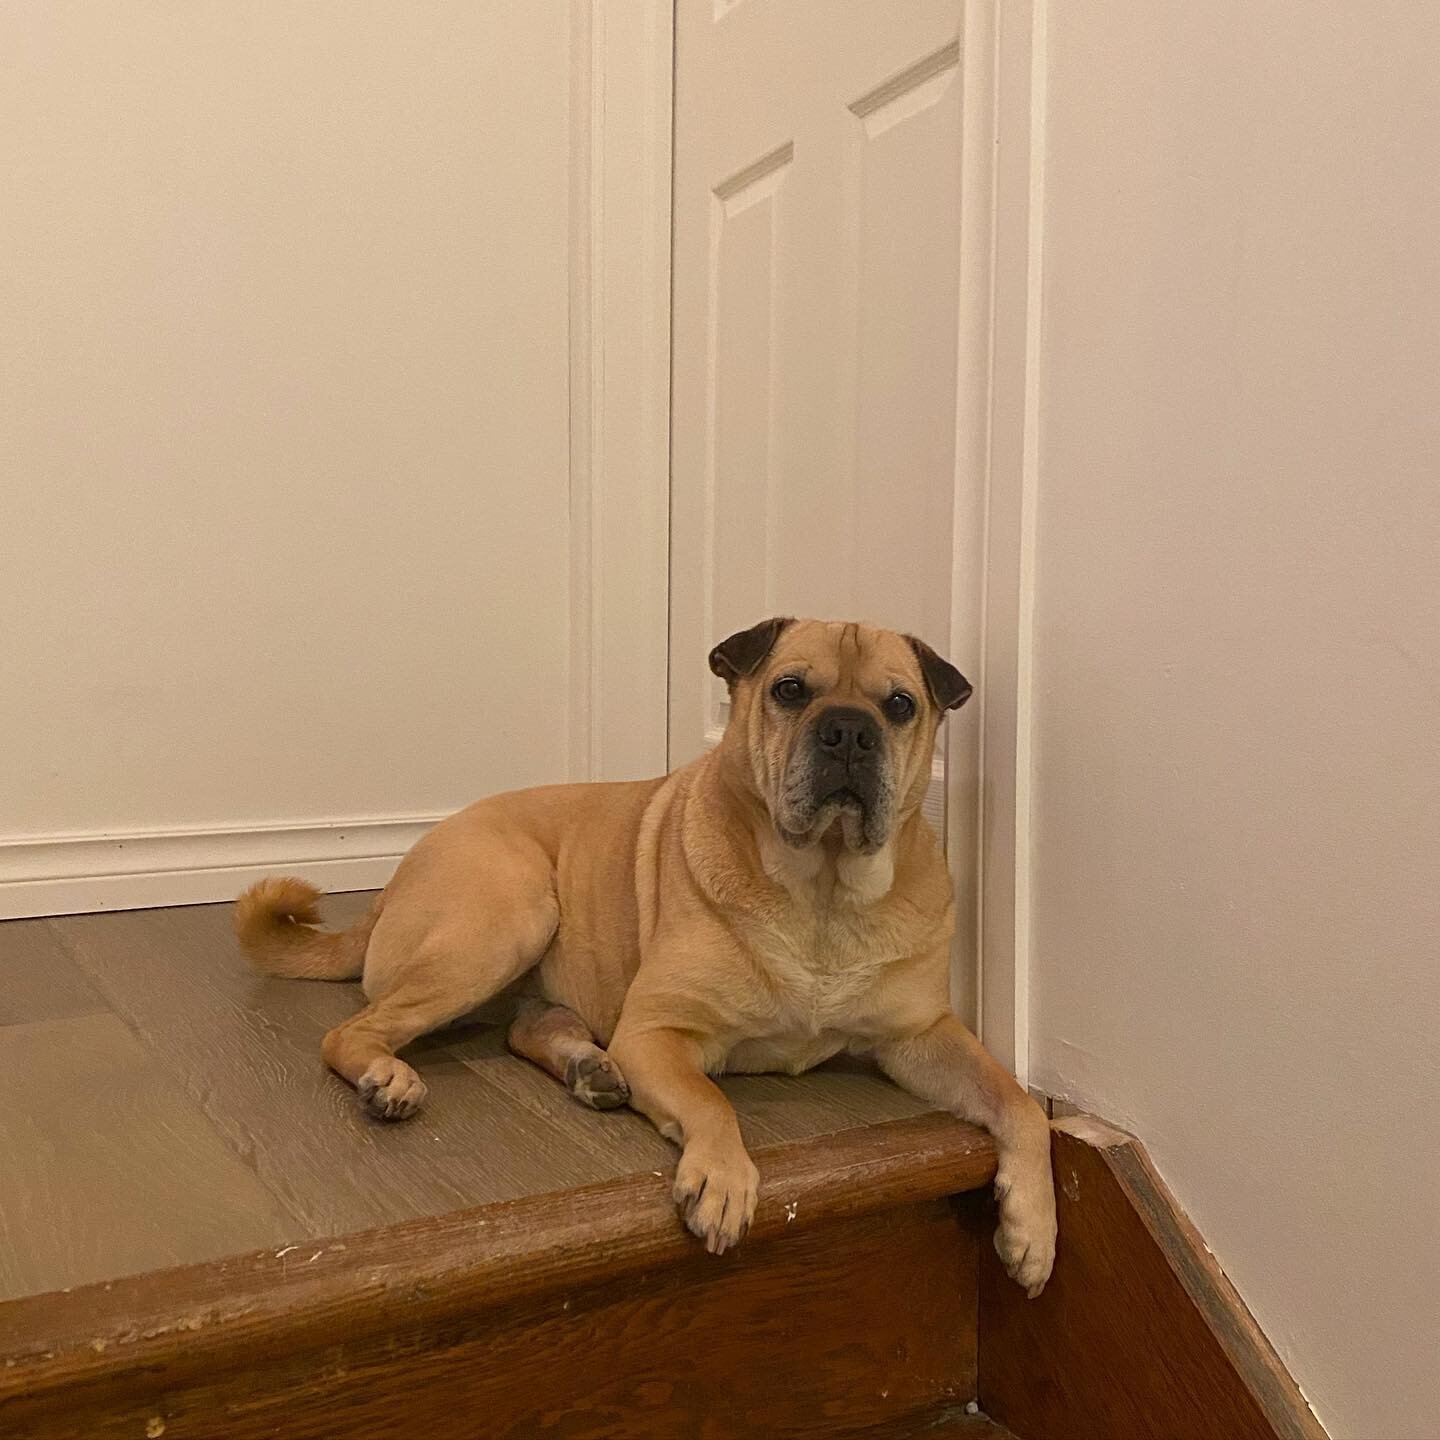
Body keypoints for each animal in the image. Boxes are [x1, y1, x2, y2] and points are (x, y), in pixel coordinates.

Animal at [236, 619, 1059, 1296]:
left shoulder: (921, 1037)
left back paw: (589, 1068)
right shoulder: (658, 1034)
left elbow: (1018, 1104)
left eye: (900, 705)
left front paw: (1033, 1229)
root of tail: (398, 878)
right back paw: (389, 1078)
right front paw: (722, 1177)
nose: (849, 732)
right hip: (509, 915)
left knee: (527, 1026)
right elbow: (711, 1101)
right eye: (790, 690)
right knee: (352, 1031)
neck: (823, 889)